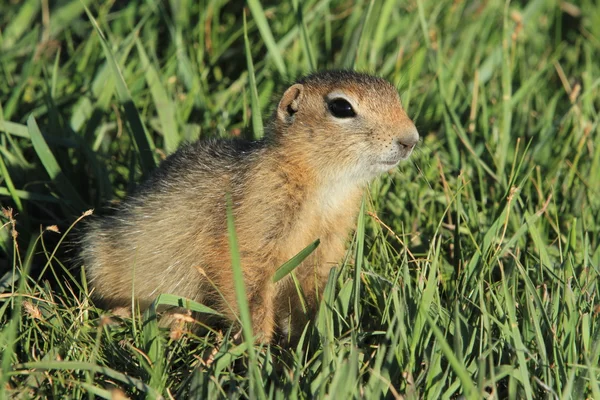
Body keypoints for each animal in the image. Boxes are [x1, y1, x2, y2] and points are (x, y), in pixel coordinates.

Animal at [81, 70, 418, 342]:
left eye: (395, 94)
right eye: (341, 107)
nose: (411, 140)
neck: (322, 186)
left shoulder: (328, 242)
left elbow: (310, 293)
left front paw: (312, 339)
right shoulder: (252, 228)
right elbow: (246, 287)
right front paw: (259, 352)